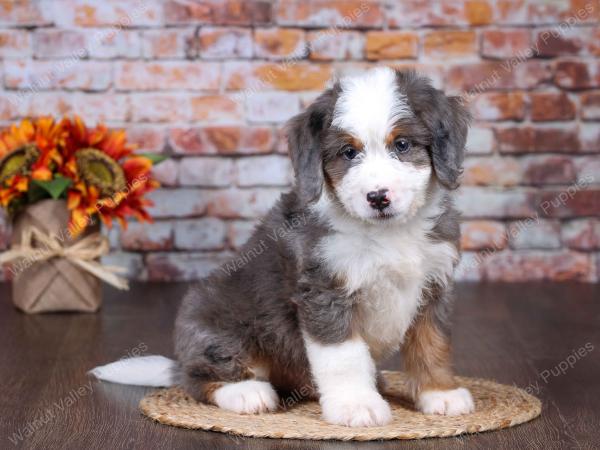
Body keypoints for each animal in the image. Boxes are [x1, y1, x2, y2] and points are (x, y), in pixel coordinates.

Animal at [91, 68, 474, 428]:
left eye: (403, 145)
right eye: (349, 152)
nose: (378, 197)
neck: (390, 233)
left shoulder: (434, 285)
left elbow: (432, 343)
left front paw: (439, 393)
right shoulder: (324, 292)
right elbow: (345, 357)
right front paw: (356, 405)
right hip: (212, 327)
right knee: (198, 379)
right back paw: (246, 392)